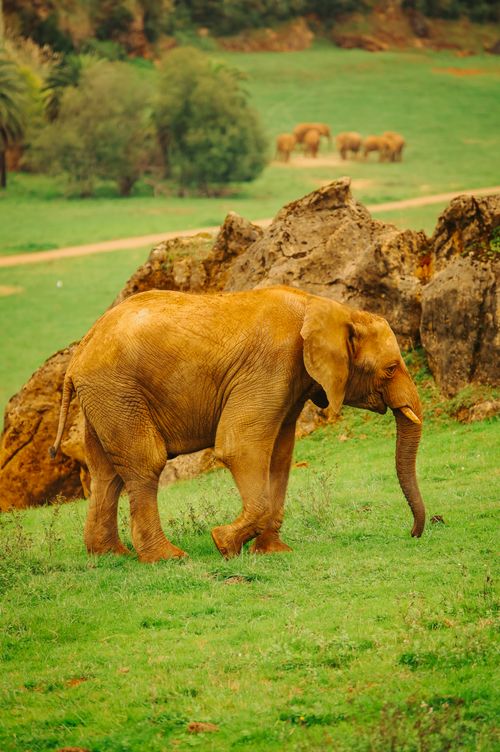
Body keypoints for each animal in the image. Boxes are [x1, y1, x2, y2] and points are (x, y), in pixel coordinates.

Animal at [50, 286, 425, 562]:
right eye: (391, 368)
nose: (412, 534)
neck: (327, 307)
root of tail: (81, 349)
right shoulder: (271, 365)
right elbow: (240, 448)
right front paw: (223, 544)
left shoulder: (290, 381)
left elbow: (280, 456)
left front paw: (273, 552)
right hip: (118, 391)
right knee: (144, 462)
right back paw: (168, 558)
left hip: (106, 398)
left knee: (105, 472)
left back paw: (110, 555)